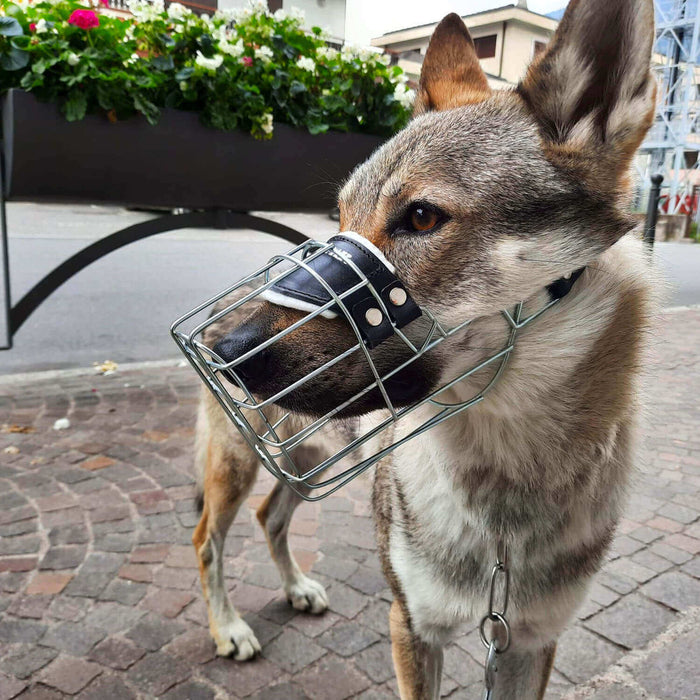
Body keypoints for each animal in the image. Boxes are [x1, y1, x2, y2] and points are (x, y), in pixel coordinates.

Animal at [190, 0, 656, 696]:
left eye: (421, 217)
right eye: (341, 220)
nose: (225, 350)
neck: (503, 508)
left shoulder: (529, 644)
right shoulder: (410, 623)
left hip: (310, 467)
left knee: (269, 517)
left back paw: (296, 588)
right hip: (242, 467)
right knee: (207, 540)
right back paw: (228, 631)